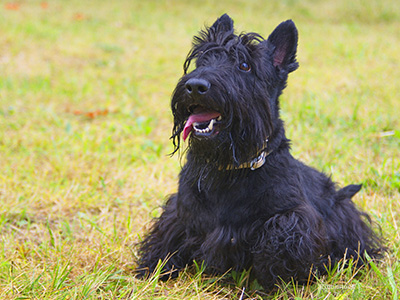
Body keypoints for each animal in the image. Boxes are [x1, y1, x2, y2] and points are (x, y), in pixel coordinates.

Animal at [137, 14, 382, 290]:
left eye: (245, 65)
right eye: (203, 60)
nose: (195, 86)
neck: (231, 168)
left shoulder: (292, 221)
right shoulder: (179, 215)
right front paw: (152, 268)